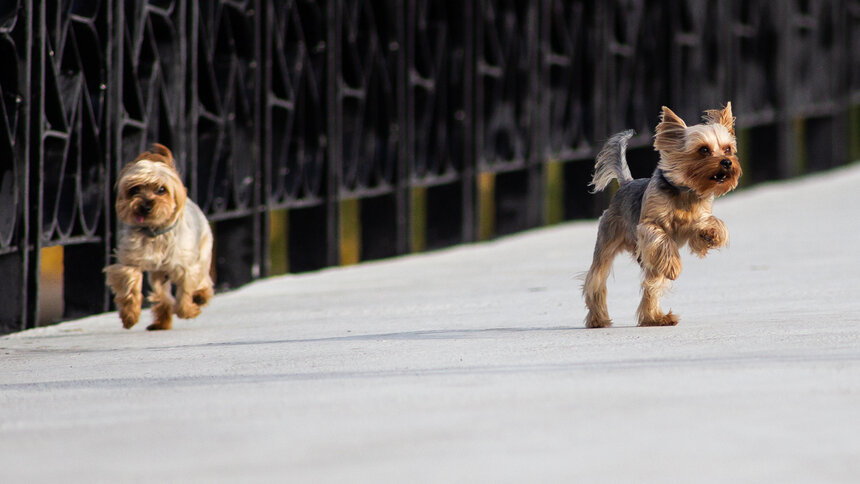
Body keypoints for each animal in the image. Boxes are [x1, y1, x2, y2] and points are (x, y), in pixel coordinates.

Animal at [104, 144, 213, 330]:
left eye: (161, 190)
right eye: (134, 189)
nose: (145, 206)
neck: (155, 231)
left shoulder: (186, 266)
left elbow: (185, 292)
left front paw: (188, 310)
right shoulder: (130, 262)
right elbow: (130, 282)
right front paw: (130, 315)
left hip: (203, 250)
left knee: (203, 278)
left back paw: (200, 297)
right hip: (159, 273)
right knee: (161, 294)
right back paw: (162, 321)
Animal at [584, 103, 740, 328]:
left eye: (728, 149)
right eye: (703, 150)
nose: (727, 162)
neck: (685, 191)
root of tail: (626, 183)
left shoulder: (697, 218)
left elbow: (708, 224)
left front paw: (712, 233)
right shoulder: (648, 226)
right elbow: (662, 238)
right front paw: (674, 266)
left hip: (650, 262)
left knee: (651, 284)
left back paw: (655, 318)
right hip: (607, 241)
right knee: (595, 280)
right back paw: (598, 319)